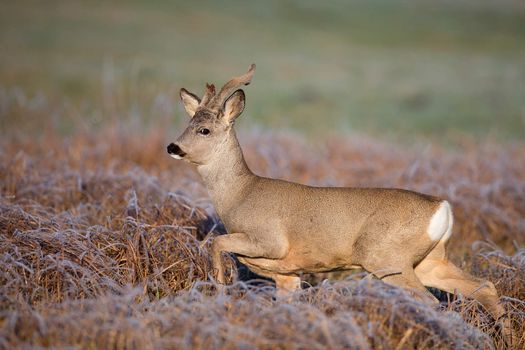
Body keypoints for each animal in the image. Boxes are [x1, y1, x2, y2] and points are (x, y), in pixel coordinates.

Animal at [167, 64, 512, 344]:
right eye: (187, 124)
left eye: (204, 129)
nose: (173, 147)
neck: (241, 194)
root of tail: (442, 207)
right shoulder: (287, 274)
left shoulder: (269, 241)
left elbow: (216, 243)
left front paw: (219, 286)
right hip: (429, 261)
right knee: (485, 287)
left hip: (385, 258)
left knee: (432, 302)